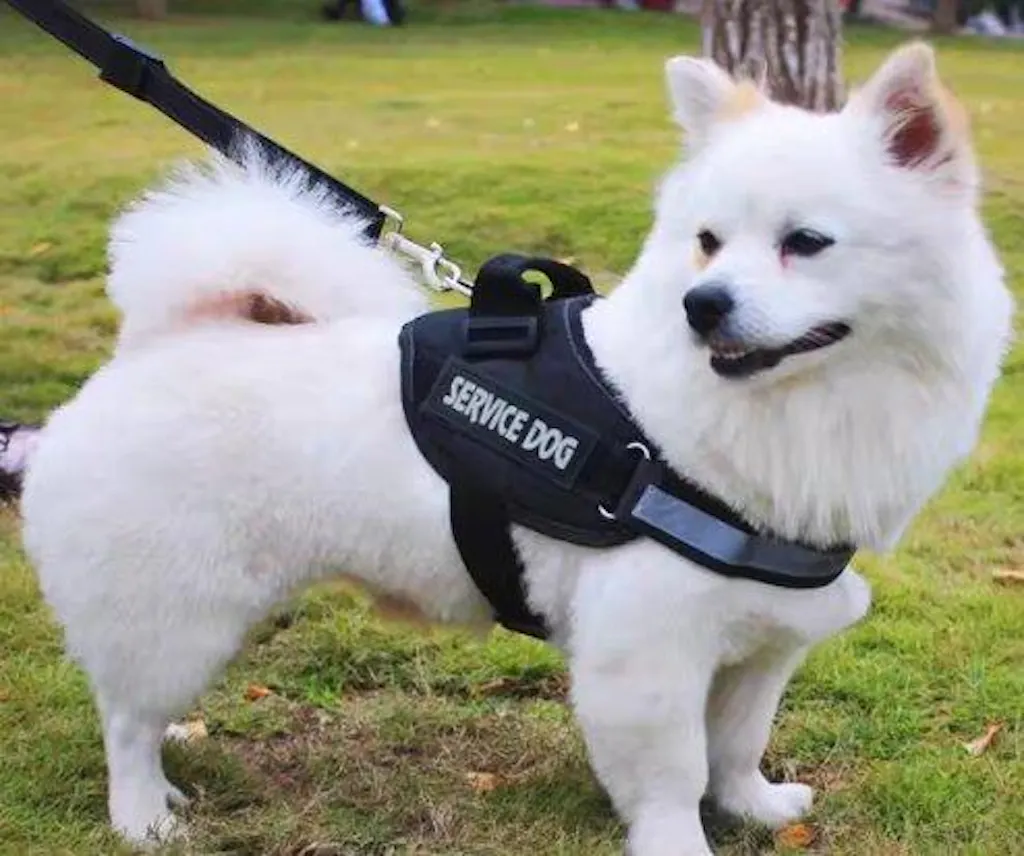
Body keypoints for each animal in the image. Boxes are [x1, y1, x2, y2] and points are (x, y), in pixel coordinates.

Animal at [19, 42, 1013, 854]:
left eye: (806, 243)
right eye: (708, 244)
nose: (704, 306)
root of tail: (158, 343)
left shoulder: (761, 642)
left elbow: (736, 745)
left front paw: (755, 808)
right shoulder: (646, 651)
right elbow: (672, 778)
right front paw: (681, 843)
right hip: (179, 611)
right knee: (126, 721)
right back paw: (142, 815)